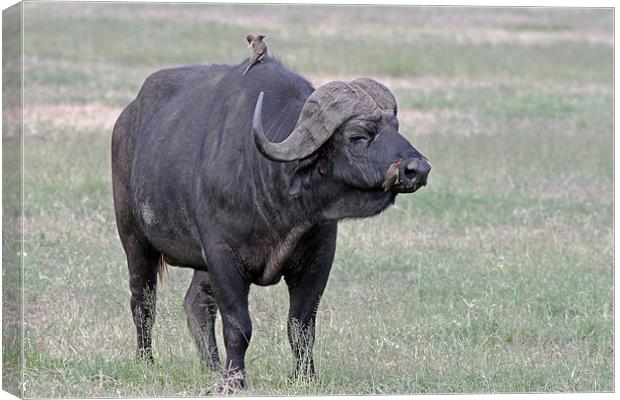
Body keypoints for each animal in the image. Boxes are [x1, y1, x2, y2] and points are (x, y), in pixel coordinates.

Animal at [112, 57, 432, 390]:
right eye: (358, 136)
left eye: (395, 128)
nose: (418, 169)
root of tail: (126, 120)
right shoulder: (222, 255)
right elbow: (238, 325)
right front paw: (234, 380)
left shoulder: (318, 258)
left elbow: (301, 326)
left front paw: (305, 377)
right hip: (134, 237)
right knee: (143, 301)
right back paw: (146, 361)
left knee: (196, 303)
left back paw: (212, 367)